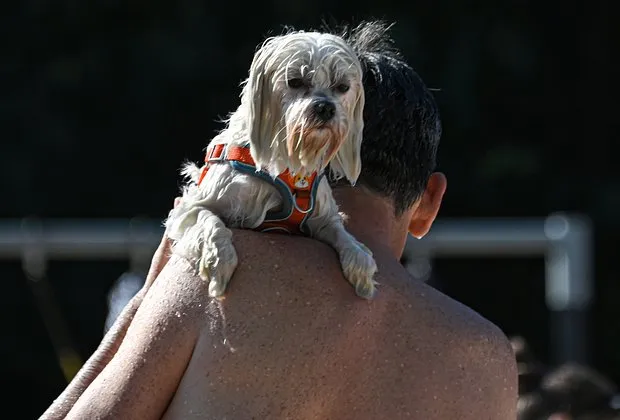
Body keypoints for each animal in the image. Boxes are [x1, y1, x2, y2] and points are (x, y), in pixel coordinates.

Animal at [165, 28, 378, 298]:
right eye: (295, 81)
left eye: (342, 87)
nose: (325, 108)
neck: (289, 164)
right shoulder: (192, 207)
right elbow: (210, 222)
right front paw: (219, 260)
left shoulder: (322, 218)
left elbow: (341, 234)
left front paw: (360, 259)